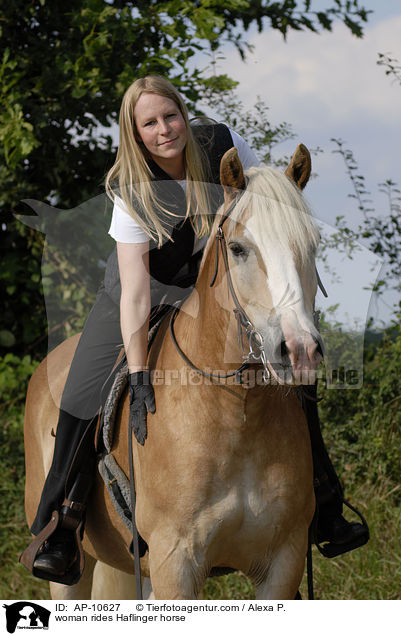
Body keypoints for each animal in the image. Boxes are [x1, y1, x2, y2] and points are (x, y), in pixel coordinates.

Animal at [22, 144, 322, 600]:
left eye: (312, 244)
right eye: (238, 248)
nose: (300, 350)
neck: (237, 413)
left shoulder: (282, 565)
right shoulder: (174, 562)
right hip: (73, 570)